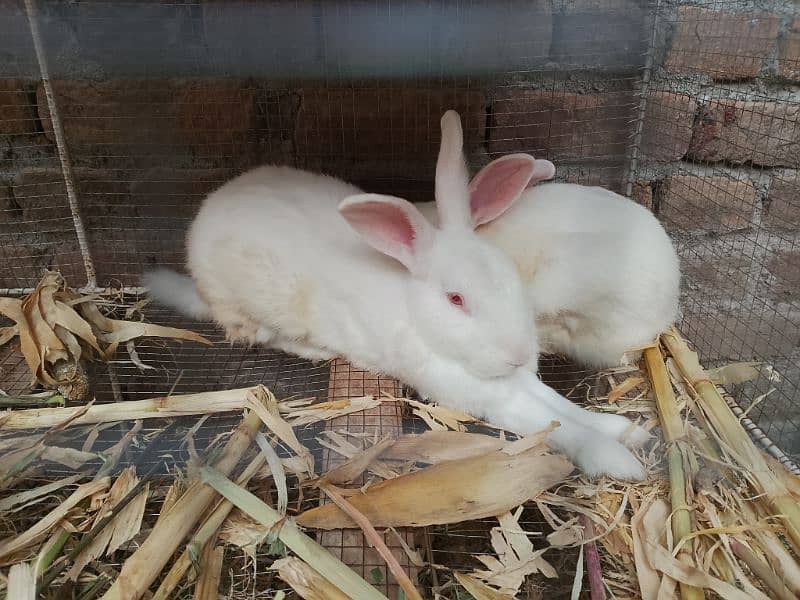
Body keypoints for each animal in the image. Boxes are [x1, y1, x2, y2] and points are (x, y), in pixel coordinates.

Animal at [145, 110, 648, 480]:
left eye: (510, 277)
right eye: (456, 300)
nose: (520, 354)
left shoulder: (515, 382)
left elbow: (560, 406)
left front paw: (624, 430)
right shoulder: (487, 396)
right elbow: (547, 421)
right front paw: (618, 460)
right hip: (247, 307)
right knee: (257, 334)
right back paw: (312, 349)